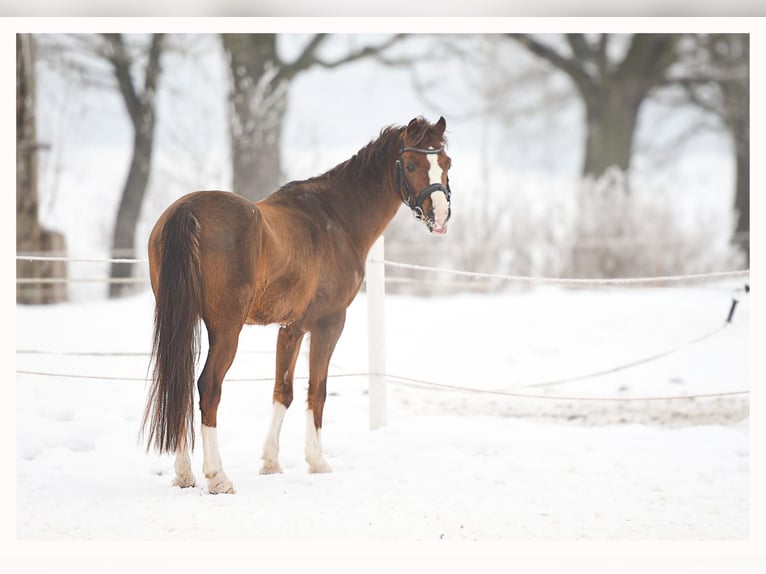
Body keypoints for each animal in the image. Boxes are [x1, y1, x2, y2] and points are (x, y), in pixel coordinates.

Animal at [141, 116, 452, 494]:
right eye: (410, 164)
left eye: (446, 163)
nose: (440, 217)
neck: (336, 217)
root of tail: (187, 210)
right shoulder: (329, 323)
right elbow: (317, 391)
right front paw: (317, 461)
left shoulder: (291, 327)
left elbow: (283, 391)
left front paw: (271, 462)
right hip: (226, 329)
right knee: (208, 386)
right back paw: (218, 476)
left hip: (183, 321)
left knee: (180, 383)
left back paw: (184, 474)